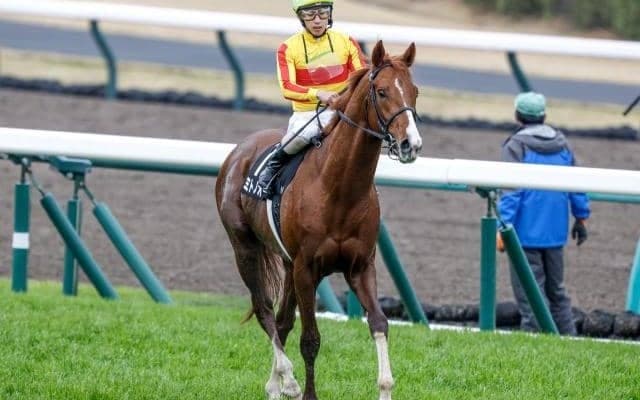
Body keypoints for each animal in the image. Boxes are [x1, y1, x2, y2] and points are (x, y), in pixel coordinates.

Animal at [215, 40, 422, 400]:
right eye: (382, 91)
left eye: (415, 91)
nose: (411, 144)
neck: (339, 190)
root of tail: (237, 153)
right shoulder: (306, 269)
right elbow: (310, 340)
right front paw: (300, 388)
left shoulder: (360, 266)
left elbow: (379, 323)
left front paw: (385, 385)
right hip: (245, 248)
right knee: (264, 310)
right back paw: (287, 379)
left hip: (286, 264)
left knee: (281, 320)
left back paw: (274, 385)